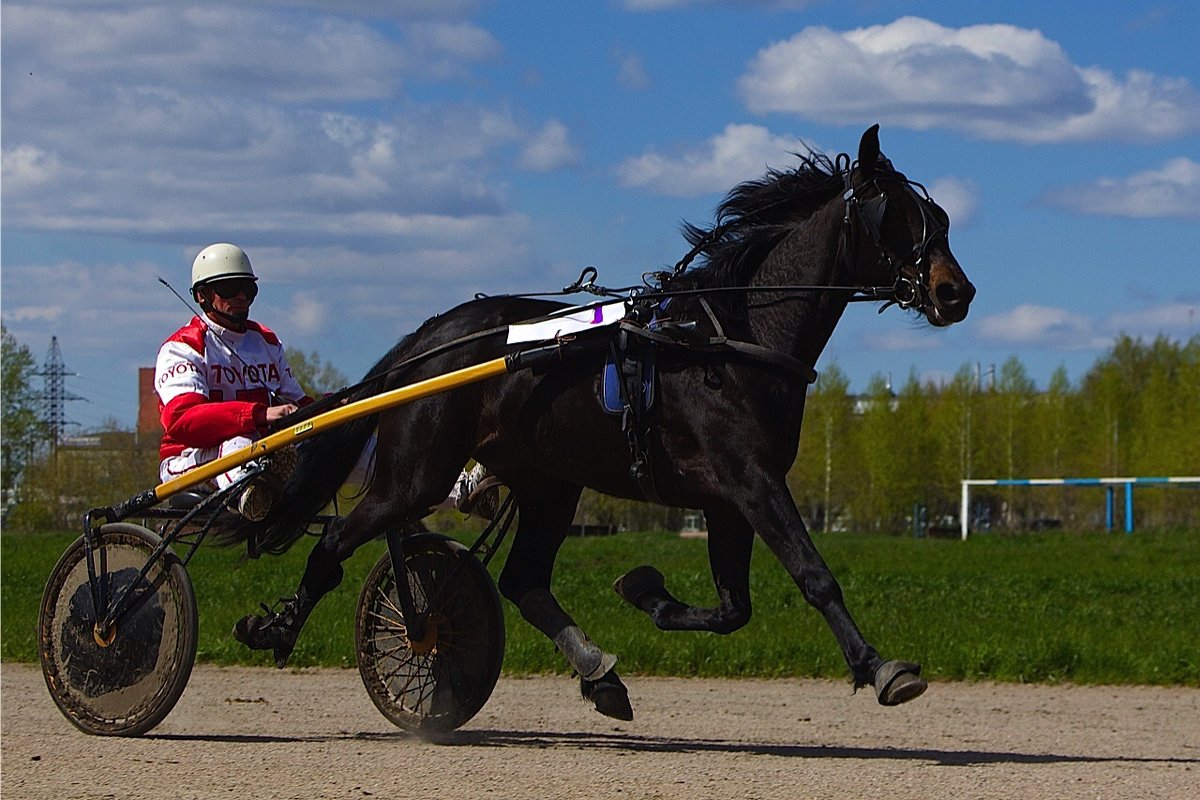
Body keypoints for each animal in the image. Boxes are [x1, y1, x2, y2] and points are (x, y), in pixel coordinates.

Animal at [226, 125, 974, 719]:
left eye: (937, 214)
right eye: (899, 216)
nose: (955, 292)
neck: (729, 338)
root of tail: (424, 343)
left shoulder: (727, 498)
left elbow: (733, 607)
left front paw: (645, 591)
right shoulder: (752, 481)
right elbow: (813, 574)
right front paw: (881, 668)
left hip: (549, 484)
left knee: (523, 581)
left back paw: (599, 674)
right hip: (416, 473)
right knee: (337, 541)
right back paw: (284, 628)